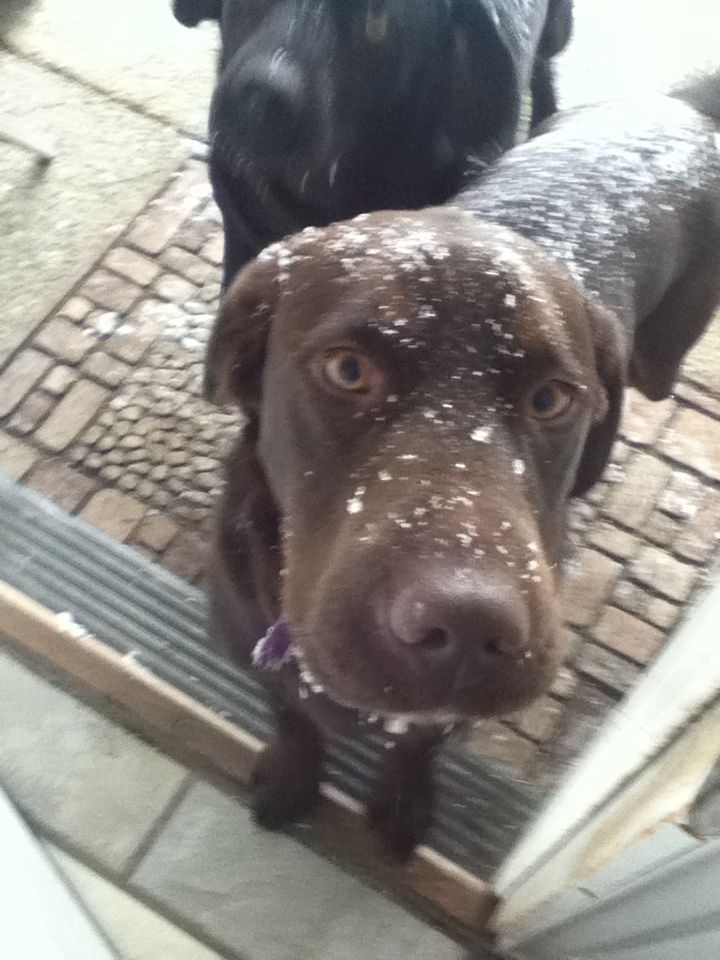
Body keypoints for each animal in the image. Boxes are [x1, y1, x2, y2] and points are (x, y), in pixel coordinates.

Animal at [202, 70, 720, 858]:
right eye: (348, 370)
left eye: (550, 398)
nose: (471, 627)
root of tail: (675, 105)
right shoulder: (247, 644)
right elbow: (291, 716)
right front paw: (292, 774)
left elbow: (420, 741)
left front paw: (404, 797)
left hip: (663, 353)